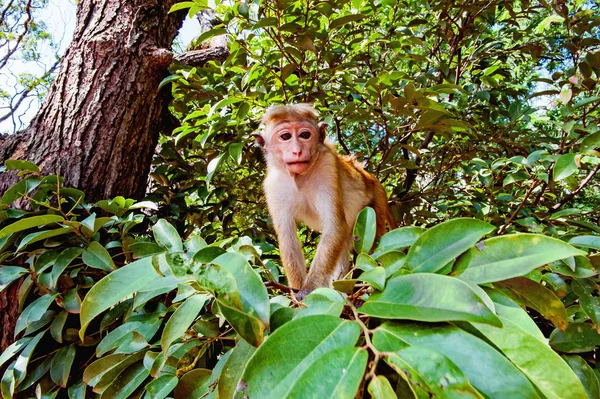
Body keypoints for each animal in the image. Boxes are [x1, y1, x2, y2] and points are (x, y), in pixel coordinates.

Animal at [255, 103, 396, 300]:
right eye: (285, 137)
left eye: (305, 135)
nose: (297, 150)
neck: (299, 178)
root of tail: (372, 180)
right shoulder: (273, 186)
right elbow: (287, 237)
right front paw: (295, 293)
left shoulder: (327, 169)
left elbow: (334, 226)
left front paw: (308, 289)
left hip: (376, 204)